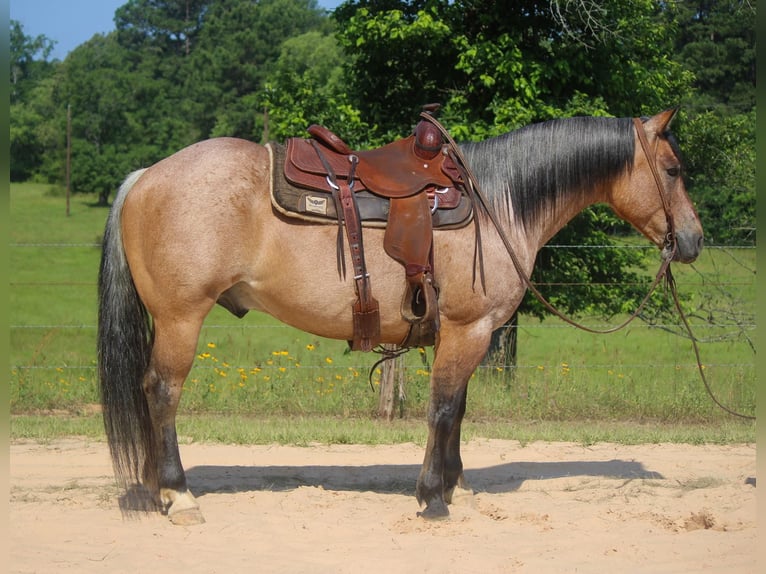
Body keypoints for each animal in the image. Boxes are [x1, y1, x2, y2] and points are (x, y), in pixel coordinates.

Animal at [94, 109, 704, 528]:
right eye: (673, 169)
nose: (693, 241)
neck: (499, 204)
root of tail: (145, 176)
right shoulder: (468, 329)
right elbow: (442, 410)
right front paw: (433, 497)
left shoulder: (464, 333)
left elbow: (457, 412)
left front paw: (457, 488)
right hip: (181, 318)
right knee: (162, 392)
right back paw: (179, 495)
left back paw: (156, 488)